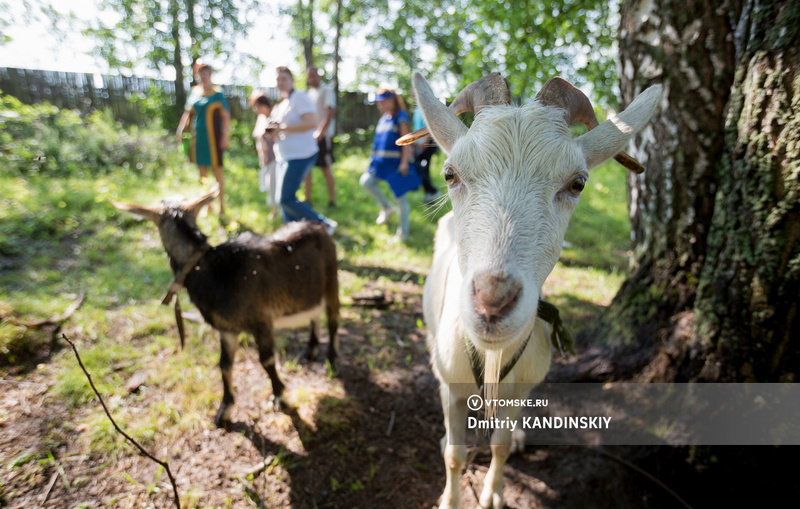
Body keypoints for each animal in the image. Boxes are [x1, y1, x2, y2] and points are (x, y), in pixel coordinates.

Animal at [111, 187, 340, 424]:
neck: (214, 271)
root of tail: (317, 225)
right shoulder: (226, 329)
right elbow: (224, 365)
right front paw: (224, 410)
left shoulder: (262, 322)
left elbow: (266, 360)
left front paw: (279, 396)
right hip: (309, 290)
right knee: (314, 313)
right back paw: (311, 349)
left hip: (332, 281)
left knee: (333, 319)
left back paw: (332, 358)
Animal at [400, 72, 664, 508]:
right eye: (450, 174)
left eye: (577, 183)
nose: (493, 302)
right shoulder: (452, 384)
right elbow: (455, 454)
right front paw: (450, 498)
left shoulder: (519, 387)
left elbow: (501, 444)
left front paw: (493, 494)